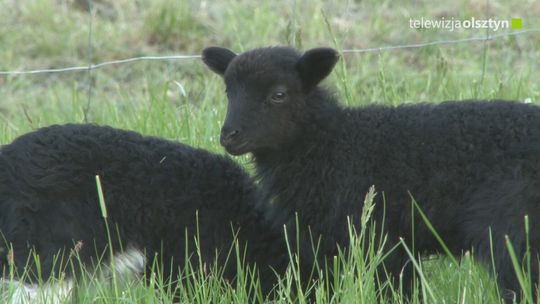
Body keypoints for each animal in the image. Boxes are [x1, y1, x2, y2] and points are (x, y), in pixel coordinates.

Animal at [201, 45, 540, 302]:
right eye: (228, 92)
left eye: (279, 94)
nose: (229, 136)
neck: (330, 145)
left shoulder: (380, 239)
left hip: (513, 229)